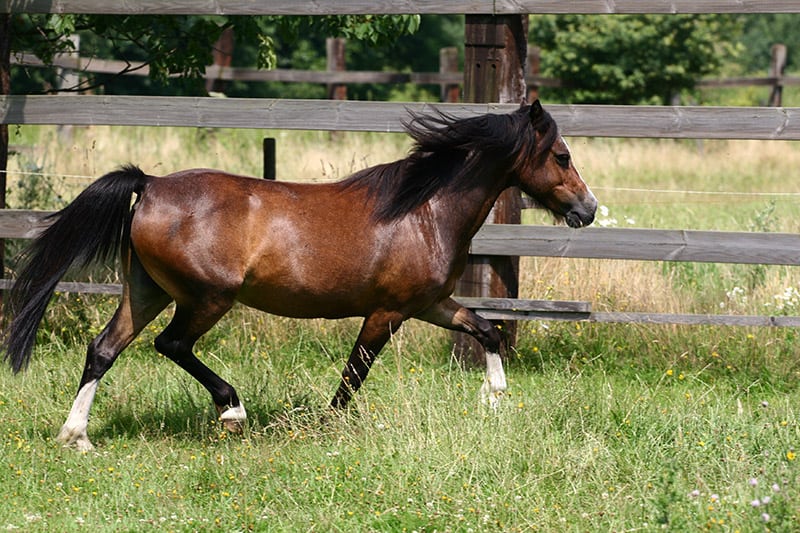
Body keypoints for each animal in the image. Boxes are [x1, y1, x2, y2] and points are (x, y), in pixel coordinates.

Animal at [2, 101, 596, 451]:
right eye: (561, 155)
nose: (588, 209)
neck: (423, 211)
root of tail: (149, 185)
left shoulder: (429, 304)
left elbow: (487, 329)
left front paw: (493, 400)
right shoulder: (387, 312)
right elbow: (353, 375)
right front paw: (325, 429)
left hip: (145, 292)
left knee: (104, 348)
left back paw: (76, 436)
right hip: (207, 297)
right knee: (171, 345)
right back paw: (232, 411)